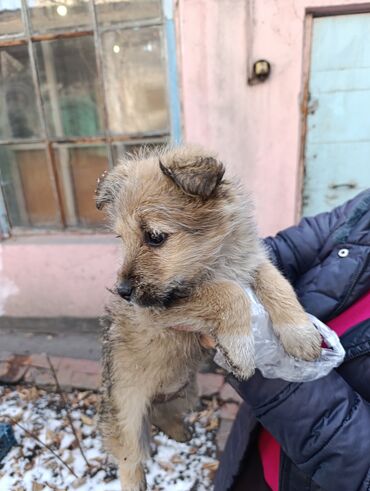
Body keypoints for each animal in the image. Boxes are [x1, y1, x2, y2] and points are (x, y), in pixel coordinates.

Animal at [97, 146, 322, 491]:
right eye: (121, 237)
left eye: (154, 236)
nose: (122, 292)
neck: (217, 260)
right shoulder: (162, 308)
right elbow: (229, 292)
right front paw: (241, 351)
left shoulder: (251, 263)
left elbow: (277, 281)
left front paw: (301, 333)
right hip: (127, 411)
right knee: (130, 456)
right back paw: (135, 481)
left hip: (186, 392)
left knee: (160, 414)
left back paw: (179, 431)